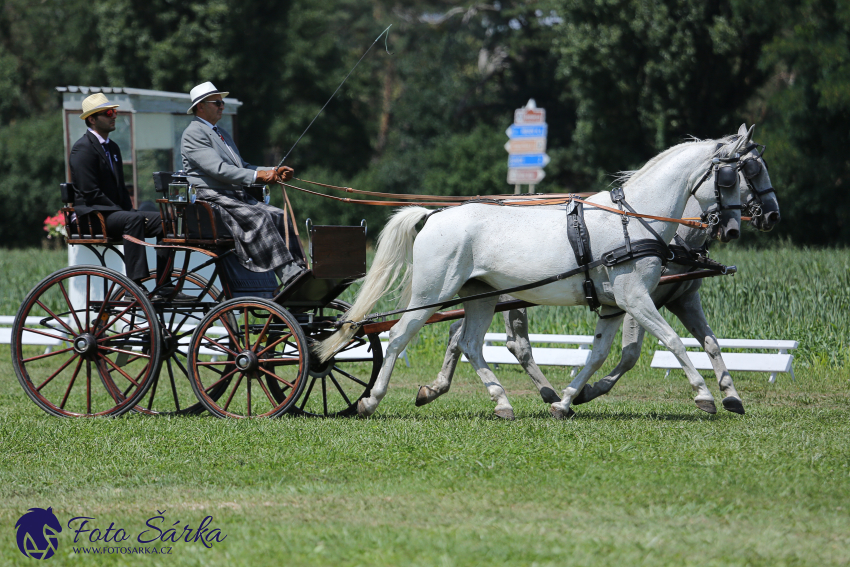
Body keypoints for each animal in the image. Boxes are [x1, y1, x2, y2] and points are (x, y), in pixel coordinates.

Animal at [320, 130, 756, 422]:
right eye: (733, 177)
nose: (736, 227)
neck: (634, 220)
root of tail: (435, 216)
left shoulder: (615, 306)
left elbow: (599, 354)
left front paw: (565, 401)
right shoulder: (636, 299)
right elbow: (674, 342)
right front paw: (705, 396)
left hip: (481, 296)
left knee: (471, 343)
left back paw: (502, 403)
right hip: (434, 292)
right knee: (398, 337)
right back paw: (369, 401)